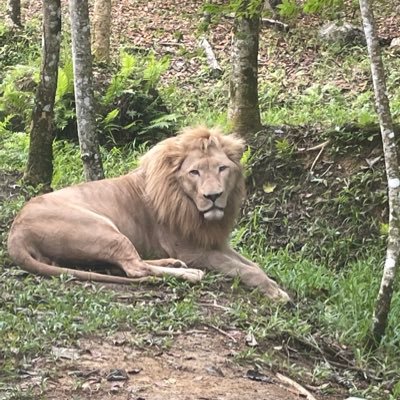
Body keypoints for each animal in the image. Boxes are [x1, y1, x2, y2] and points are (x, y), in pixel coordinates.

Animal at [7, 126, 290, 302]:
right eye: (194, 172)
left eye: (222, 168)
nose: (213, 196)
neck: (187, 202)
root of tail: (15, 232)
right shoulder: (192, 249)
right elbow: (244, 269)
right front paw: (276, 293)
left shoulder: (212, 242)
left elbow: (253, 264)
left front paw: (275, 283)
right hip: (103, 229)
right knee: (135, 268)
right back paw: (189, 274)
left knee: (128, 264)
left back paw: (173, 264)